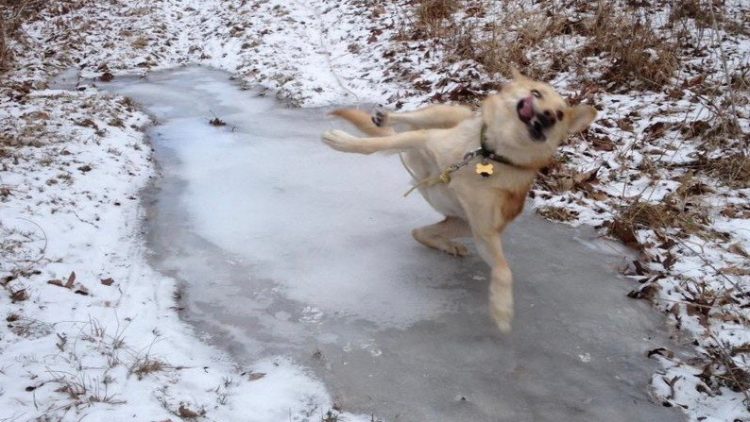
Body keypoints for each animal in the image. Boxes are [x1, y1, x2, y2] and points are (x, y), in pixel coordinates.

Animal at [324, 70, 600, 332]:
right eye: (536, 93)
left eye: (560, 114)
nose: (548, 116)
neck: (487, 154)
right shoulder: (424, 140)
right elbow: (375, 143)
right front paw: (345, 142)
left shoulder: (485, 233)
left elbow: (504, 271)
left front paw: (502, 308)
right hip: (442, 115)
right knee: (411, 119)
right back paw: (386, 117)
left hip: (461, 224)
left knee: (419, 232)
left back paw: (449, 245)